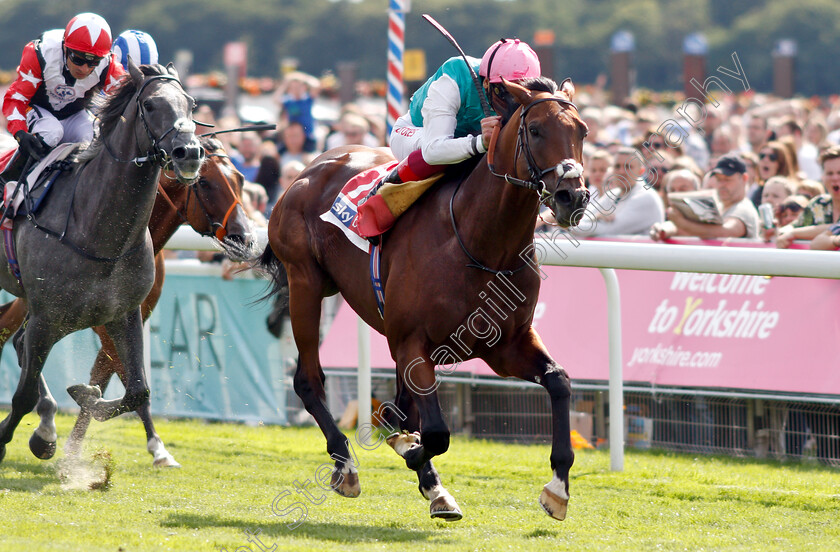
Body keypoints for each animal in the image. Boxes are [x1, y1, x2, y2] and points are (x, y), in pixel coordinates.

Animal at [0, 62, 206, 464]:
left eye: (191, 103)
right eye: (152, 105)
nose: (188, 152)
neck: (96, 231)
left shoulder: (123, 313)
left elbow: (137, 390)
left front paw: (85, 397)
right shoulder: (48, 317)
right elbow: (23, 395)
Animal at [0, 135, 253, 466]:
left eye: (240, 180)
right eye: (205, 183)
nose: (244, 238)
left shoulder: (127, 317)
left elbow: (116, 378)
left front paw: (76, 439)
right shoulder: (93, 321)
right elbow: (120, 376)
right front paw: (155, 446)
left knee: (19, 342)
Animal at [258, 78, 592, 520]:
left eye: (582, 131)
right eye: (535, 130)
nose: (574, 196)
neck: (481, 243)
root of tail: (309, 169)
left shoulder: (505, 346)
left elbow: (558, 381)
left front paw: (557, 487)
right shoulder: (414, 343)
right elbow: (434, 433)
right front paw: (412, 454)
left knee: (398, 404)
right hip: (305, 283)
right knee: (308, 381)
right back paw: (346, 466)